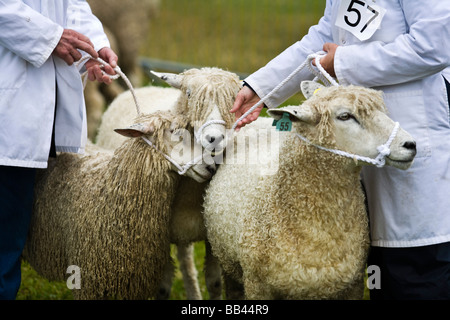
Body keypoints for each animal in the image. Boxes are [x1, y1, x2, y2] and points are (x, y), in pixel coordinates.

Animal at [95, 67, 243, 300]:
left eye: (235, 98)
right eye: (189, 94)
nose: (215, 138)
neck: (189, 195)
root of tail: (145, 87)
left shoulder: (212, 238)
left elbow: (214, 283)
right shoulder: (157, 236)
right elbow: (163, 288)